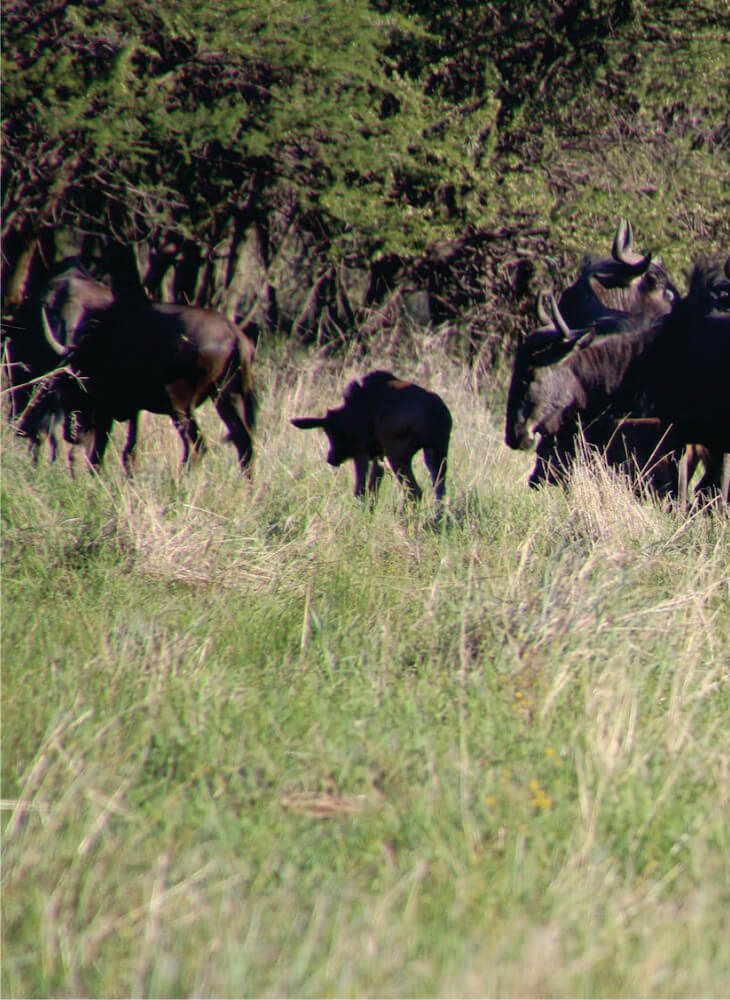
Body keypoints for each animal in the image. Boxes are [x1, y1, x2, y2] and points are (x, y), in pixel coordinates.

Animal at [290, 372, 450, 504]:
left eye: (333, 433)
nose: (331, 458)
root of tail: (435, 411)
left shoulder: (361, 452)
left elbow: (360, 491)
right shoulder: (378, 455)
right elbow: (373, 491)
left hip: (398, 455)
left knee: (414, 492)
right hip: (437, 450)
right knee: (439, 491)